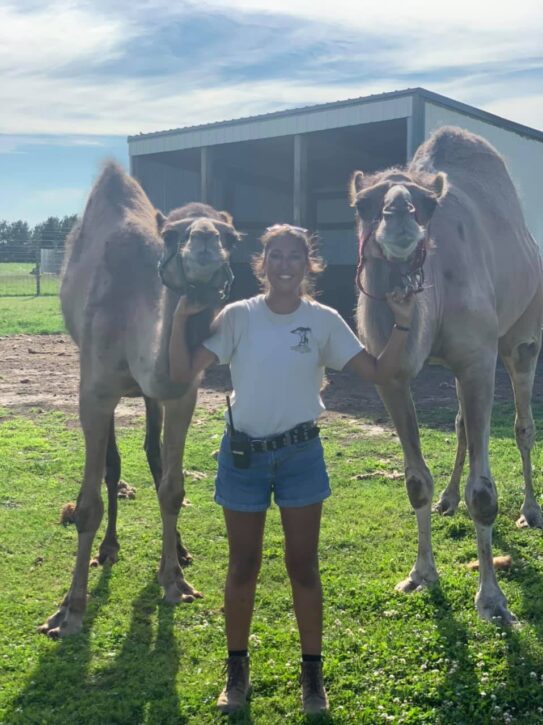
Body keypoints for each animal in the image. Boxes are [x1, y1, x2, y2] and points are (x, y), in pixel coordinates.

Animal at [38, 163, 240, 632]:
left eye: (232, 235)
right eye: (172, 234)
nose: (206, 240)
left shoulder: (182, 393)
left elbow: (172, 486)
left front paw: (175, 580)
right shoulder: (93, 393)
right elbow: (88, 503)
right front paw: (70, 609)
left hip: (148, 397)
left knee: (152, 454)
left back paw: (178, 550)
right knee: (113, 465)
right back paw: (108, 548)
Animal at [350, 124, 540, 624]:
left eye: (427, 204)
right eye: (362, 204)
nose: (399, 213)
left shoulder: (478, 359)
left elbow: (485, 495)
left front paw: (492, 599)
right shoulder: (389, 377)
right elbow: (415, 481)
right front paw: (419, 574)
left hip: (522, 336)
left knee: (523, 425)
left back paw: (531, 510)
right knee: (459, 426)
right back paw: (448, 500)